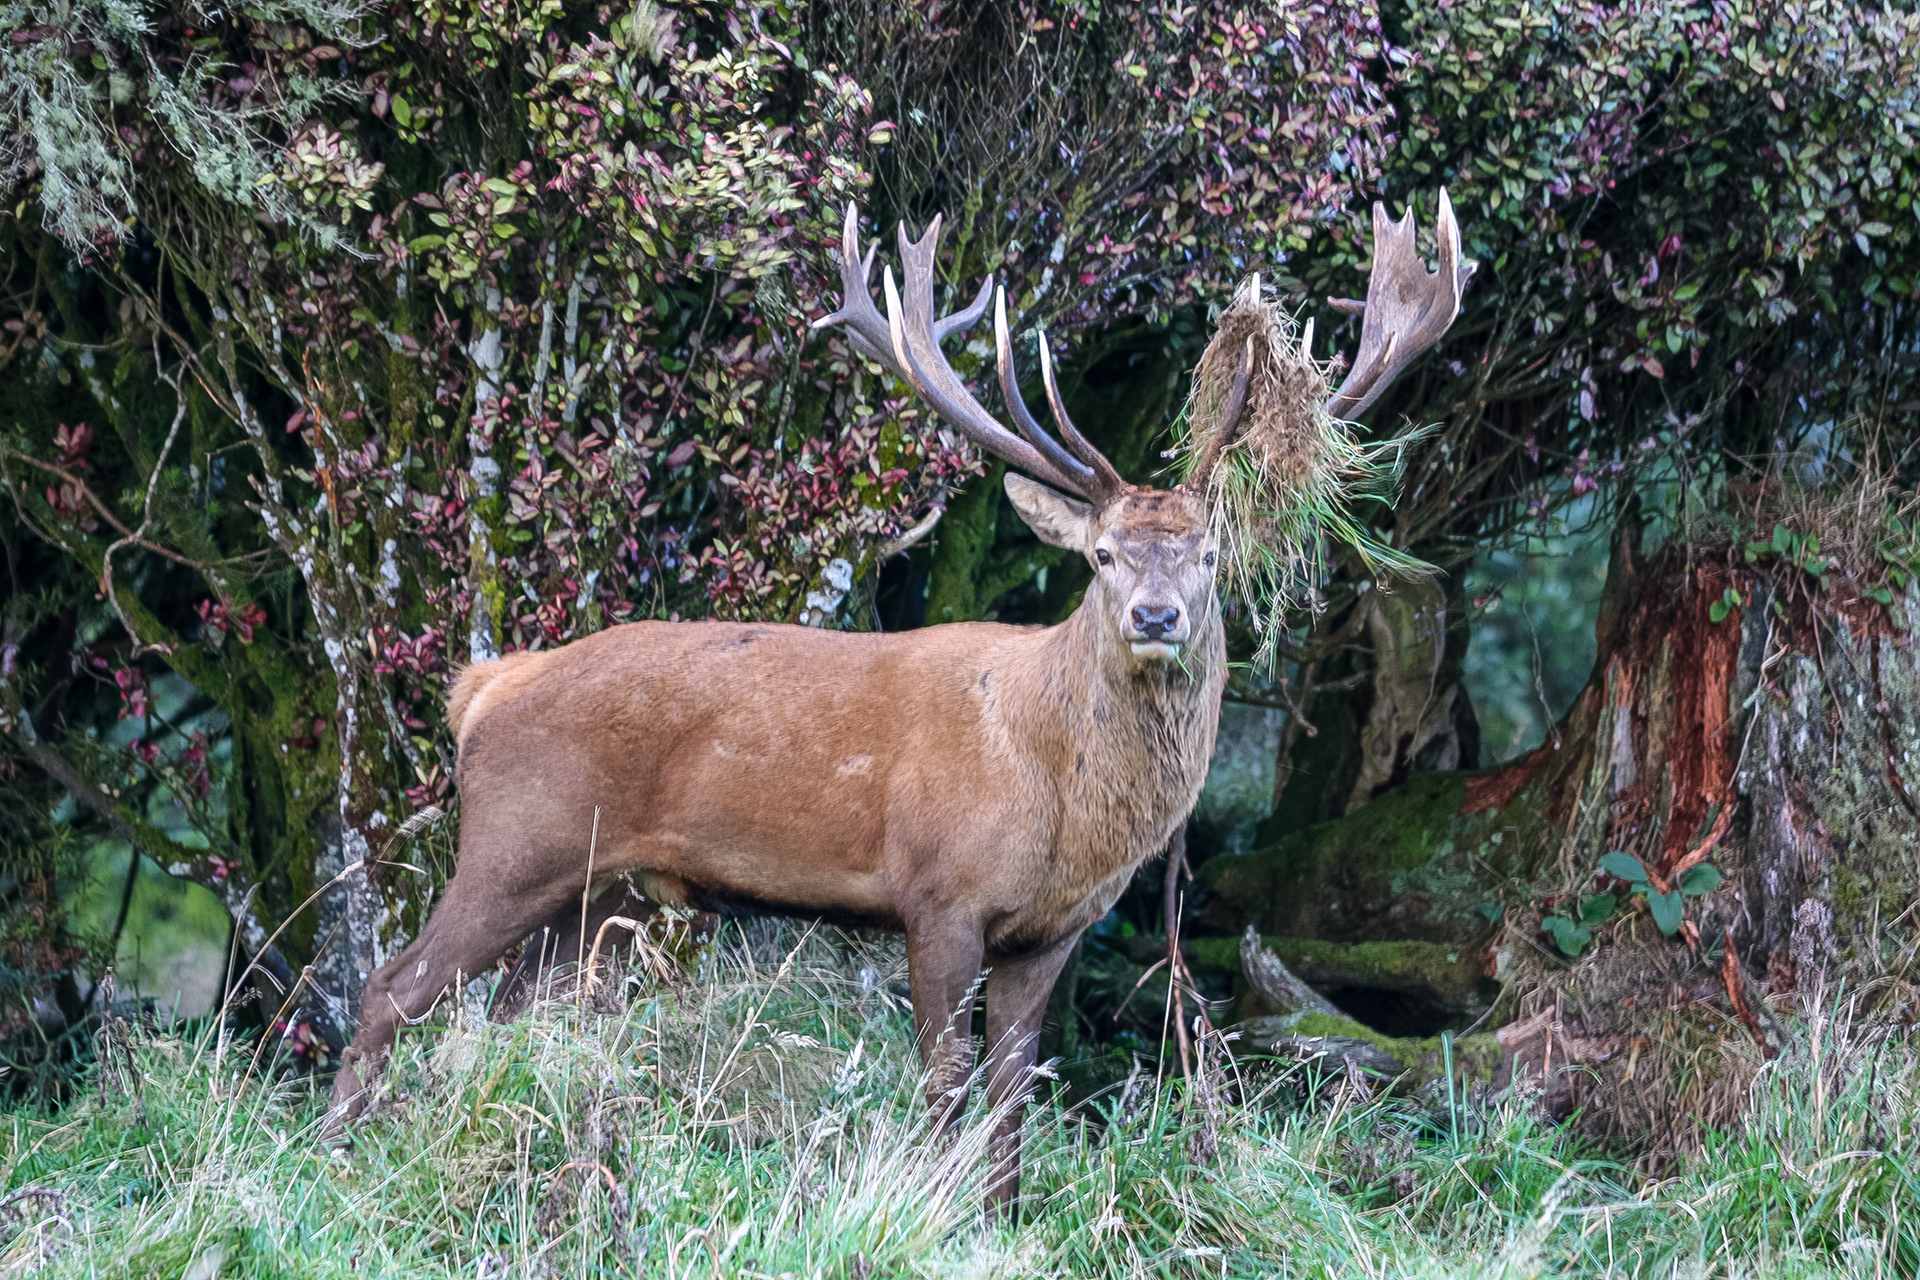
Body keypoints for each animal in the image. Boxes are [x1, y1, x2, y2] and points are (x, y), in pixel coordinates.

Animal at [324, 193, 1472, 1217]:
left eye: (1208, 555)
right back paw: (334, 1156)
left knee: (511, 1015)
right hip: (521, 838)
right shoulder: (938, 893)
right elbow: (944, 1085)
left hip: (603, 889)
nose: (1156, 616)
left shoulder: (1050, 932)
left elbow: (1012, 1098)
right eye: (1102, 554)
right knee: (393, 985)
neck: (1060, 799)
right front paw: (928, 1211)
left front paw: (1001, 1223)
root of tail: (485, 688)